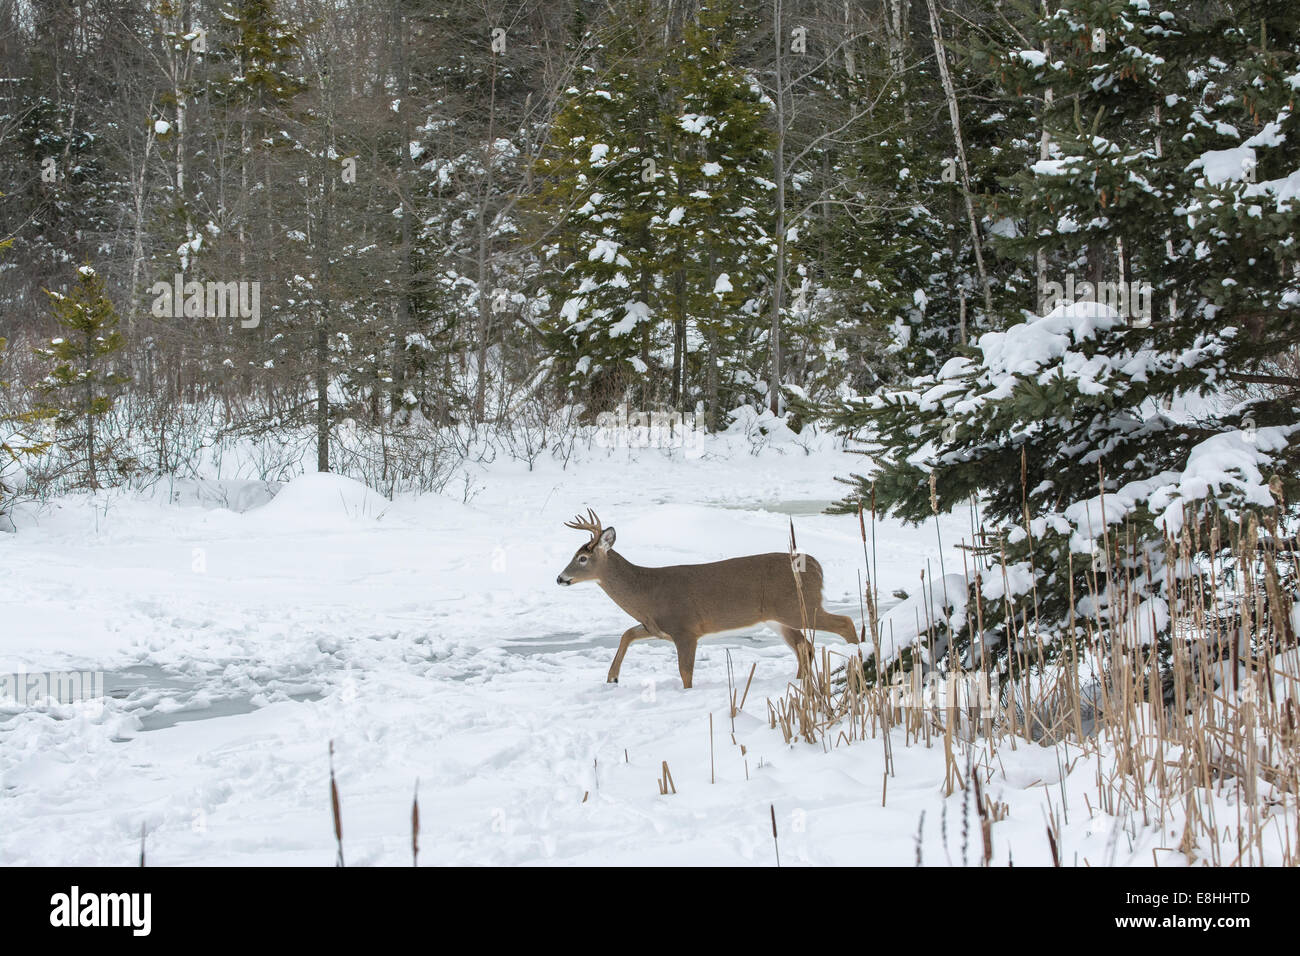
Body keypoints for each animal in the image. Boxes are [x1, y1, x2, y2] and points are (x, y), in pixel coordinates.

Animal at [551, 509, 863, 686]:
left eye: (581, 558)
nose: (560, 578)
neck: (646, 593)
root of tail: (818, 567)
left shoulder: (685, 628)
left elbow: (685, 672)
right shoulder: (658, 627)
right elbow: (627, 634)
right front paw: (612, 677)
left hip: (800, 607)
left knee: (844, 623)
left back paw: (859, 658)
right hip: (781, 618)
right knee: (804, 647)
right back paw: (800, 682)